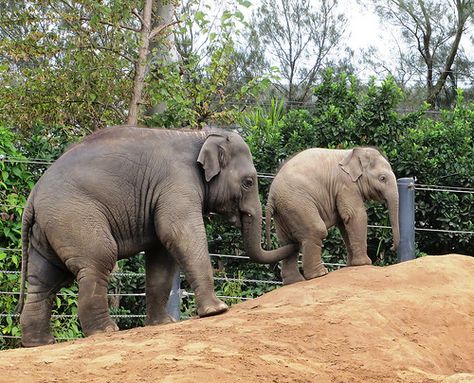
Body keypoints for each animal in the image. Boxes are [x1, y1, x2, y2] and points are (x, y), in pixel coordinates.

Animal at [18, 126, 296, 348]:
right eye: (248, 182)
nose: (294, 243)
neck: (200, 136)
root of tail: (33, 197)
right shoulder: (178, 183)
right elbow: (179, 234)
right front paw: (217, 310)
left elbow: (161, 254)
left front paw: (163, 324)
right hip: (73, 217)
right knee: (97, 261)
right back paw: (105, 331)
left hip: (50, 227)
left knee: (45, 279)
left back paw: (40, 343)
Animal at [266, 148, 400, 286]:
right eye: (382, 178)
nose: (391, 247)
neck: (353, 153)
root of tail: (271, 196)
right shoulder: (346, 185)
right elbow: (354, 215)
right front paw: (364, 263)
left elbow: (344, 222)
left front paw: (352, 265)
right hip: (297, 203)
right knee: (316, 230)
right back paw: (320, 274)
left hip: (283, 211)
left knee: (288, 242)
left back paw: (294, 281)